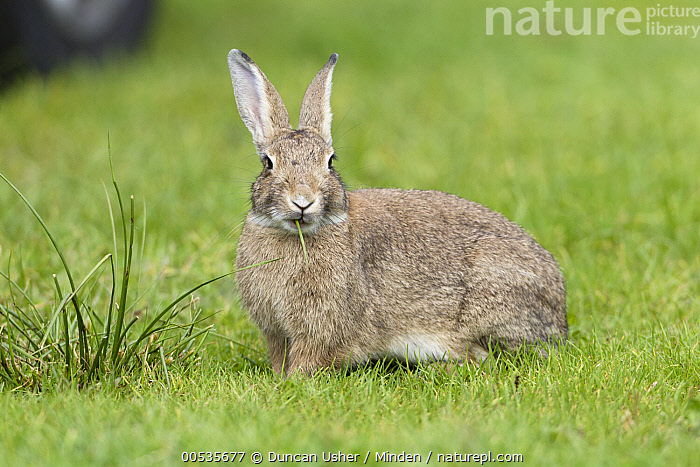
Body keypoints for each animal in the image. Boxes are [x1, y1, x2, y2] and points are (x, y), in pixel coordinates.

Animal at [227, 49, 567, 377]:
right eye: (268, 164)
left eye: (330, 162)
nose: (303, 200)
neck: (296, 233)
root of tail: (558, 316)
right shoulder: (276, 332)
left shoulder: (321, 330)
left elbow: (307, 360)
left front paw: (292, 382)